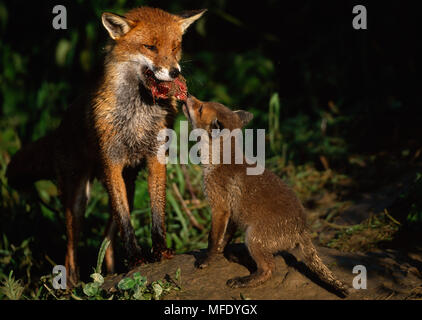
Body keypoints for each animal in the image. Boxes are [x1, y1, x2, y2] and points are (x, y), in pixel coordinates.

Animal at [5, 6, 206, 288]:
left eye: (175, 47)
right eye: (150, 47)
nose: (175, 72)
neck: (137, 115)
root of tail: (60, 126)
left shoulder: (155, 158)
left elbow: (156, 212)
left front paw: (159, 251)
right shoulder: (112, 162)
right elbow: (126, 223)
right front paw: (136, 257)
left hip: (127, 188)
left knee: (107, 237)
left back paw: (111, 273)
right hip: (78, 198)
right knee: (72, 246)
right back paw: (72, 283)